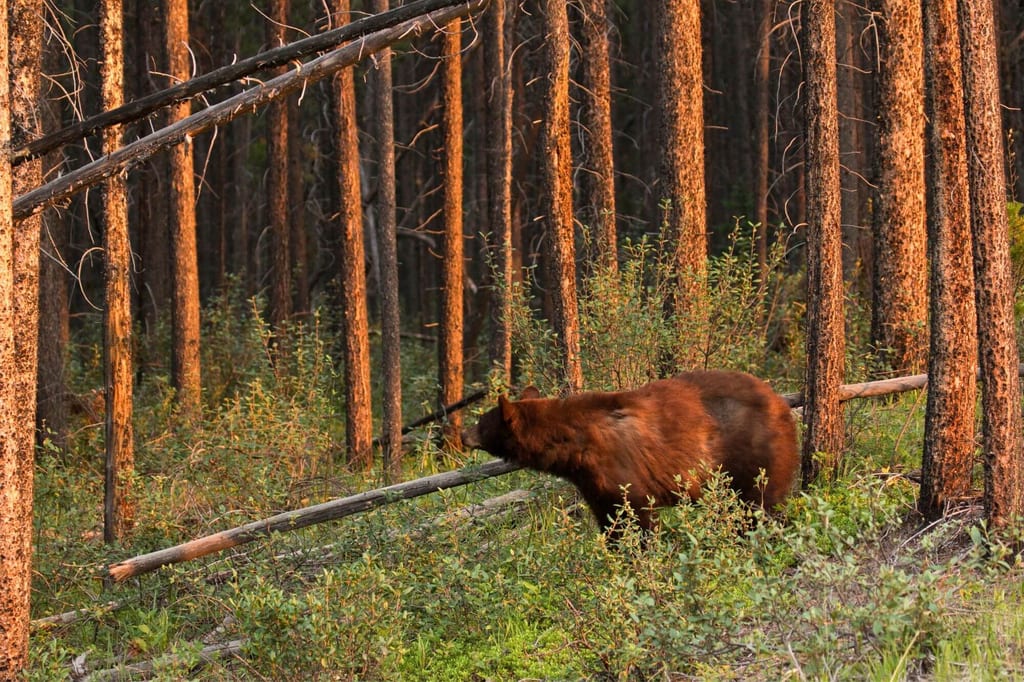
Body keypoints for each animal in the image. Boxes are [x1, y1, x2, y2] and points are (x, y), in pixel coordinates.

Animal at [460, 370, 799, 535]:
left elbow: (634, 515)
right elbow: (608, 517)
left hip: (755, 452)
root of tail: (781, 404)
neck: (574, 444)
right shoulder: (591, 482)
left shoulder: (619, 471)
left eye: (481, 422)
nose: (463, 435)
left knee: (759, 502)